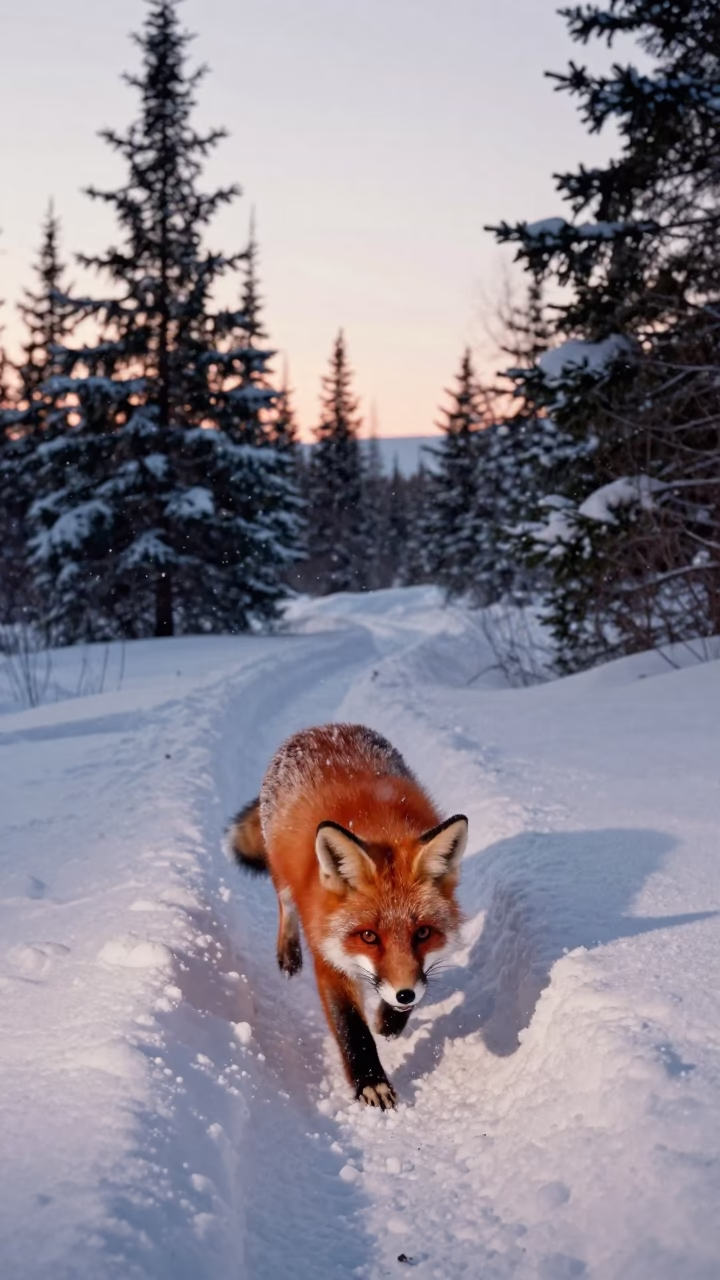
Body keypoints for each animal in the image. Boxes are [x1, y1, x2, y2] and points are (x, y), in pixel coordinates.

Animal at [228, 722, 468, 1109]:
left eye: (422, 933)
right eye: (368, 936)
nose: (404, 995)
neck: (379, 826)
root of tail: (321, 728)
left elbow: (413, 986)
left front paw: (390, 1021)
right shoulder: (328, 957)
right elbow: (352, 1029)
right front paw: (371, 1083)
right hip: (280, 874)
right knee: (284, 905)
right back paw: (288, 953)